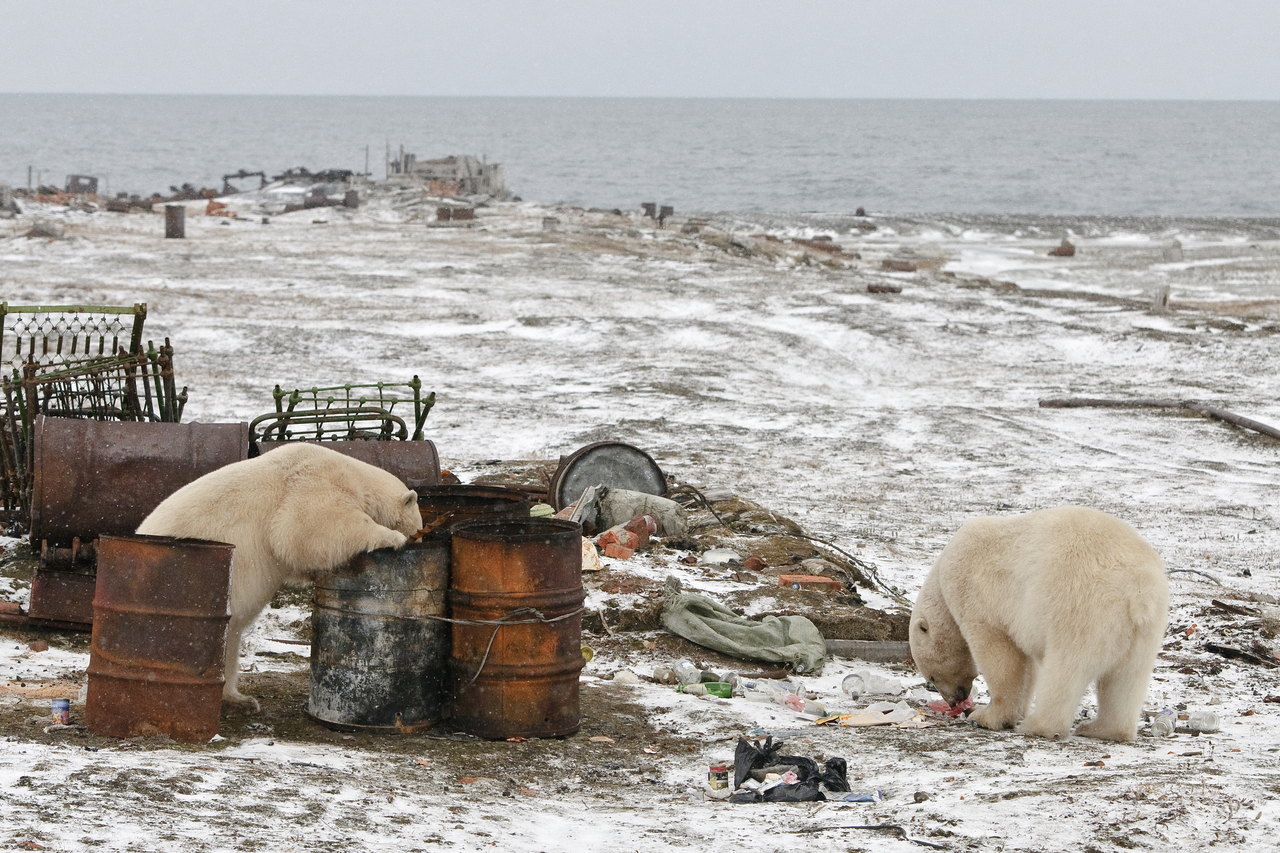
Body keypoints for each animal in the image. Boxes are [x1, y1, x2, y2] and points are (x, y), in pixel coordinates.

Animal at [137, 440, 422, 706]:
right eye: (417, 528)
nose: (418, 540)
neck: (355, 474)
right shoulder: (315, 483)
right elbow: (310, 527)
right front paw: (392, 537)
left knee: (230, 639)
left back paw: (239, 698)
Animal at [911, 504, 1172, 737]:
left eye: (931, 678)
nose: (957, 699)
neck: (942, 580)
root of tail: (1138, 592)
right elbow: (1027, 666)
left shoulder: (974, 594)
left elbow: (1000, 656)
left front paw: (987, 717)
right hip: (1144, 630)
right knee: (1127, 679)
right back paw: (1103, 729)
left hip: (1082, 608)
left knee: (1065, 668)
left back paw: (1040, 726)